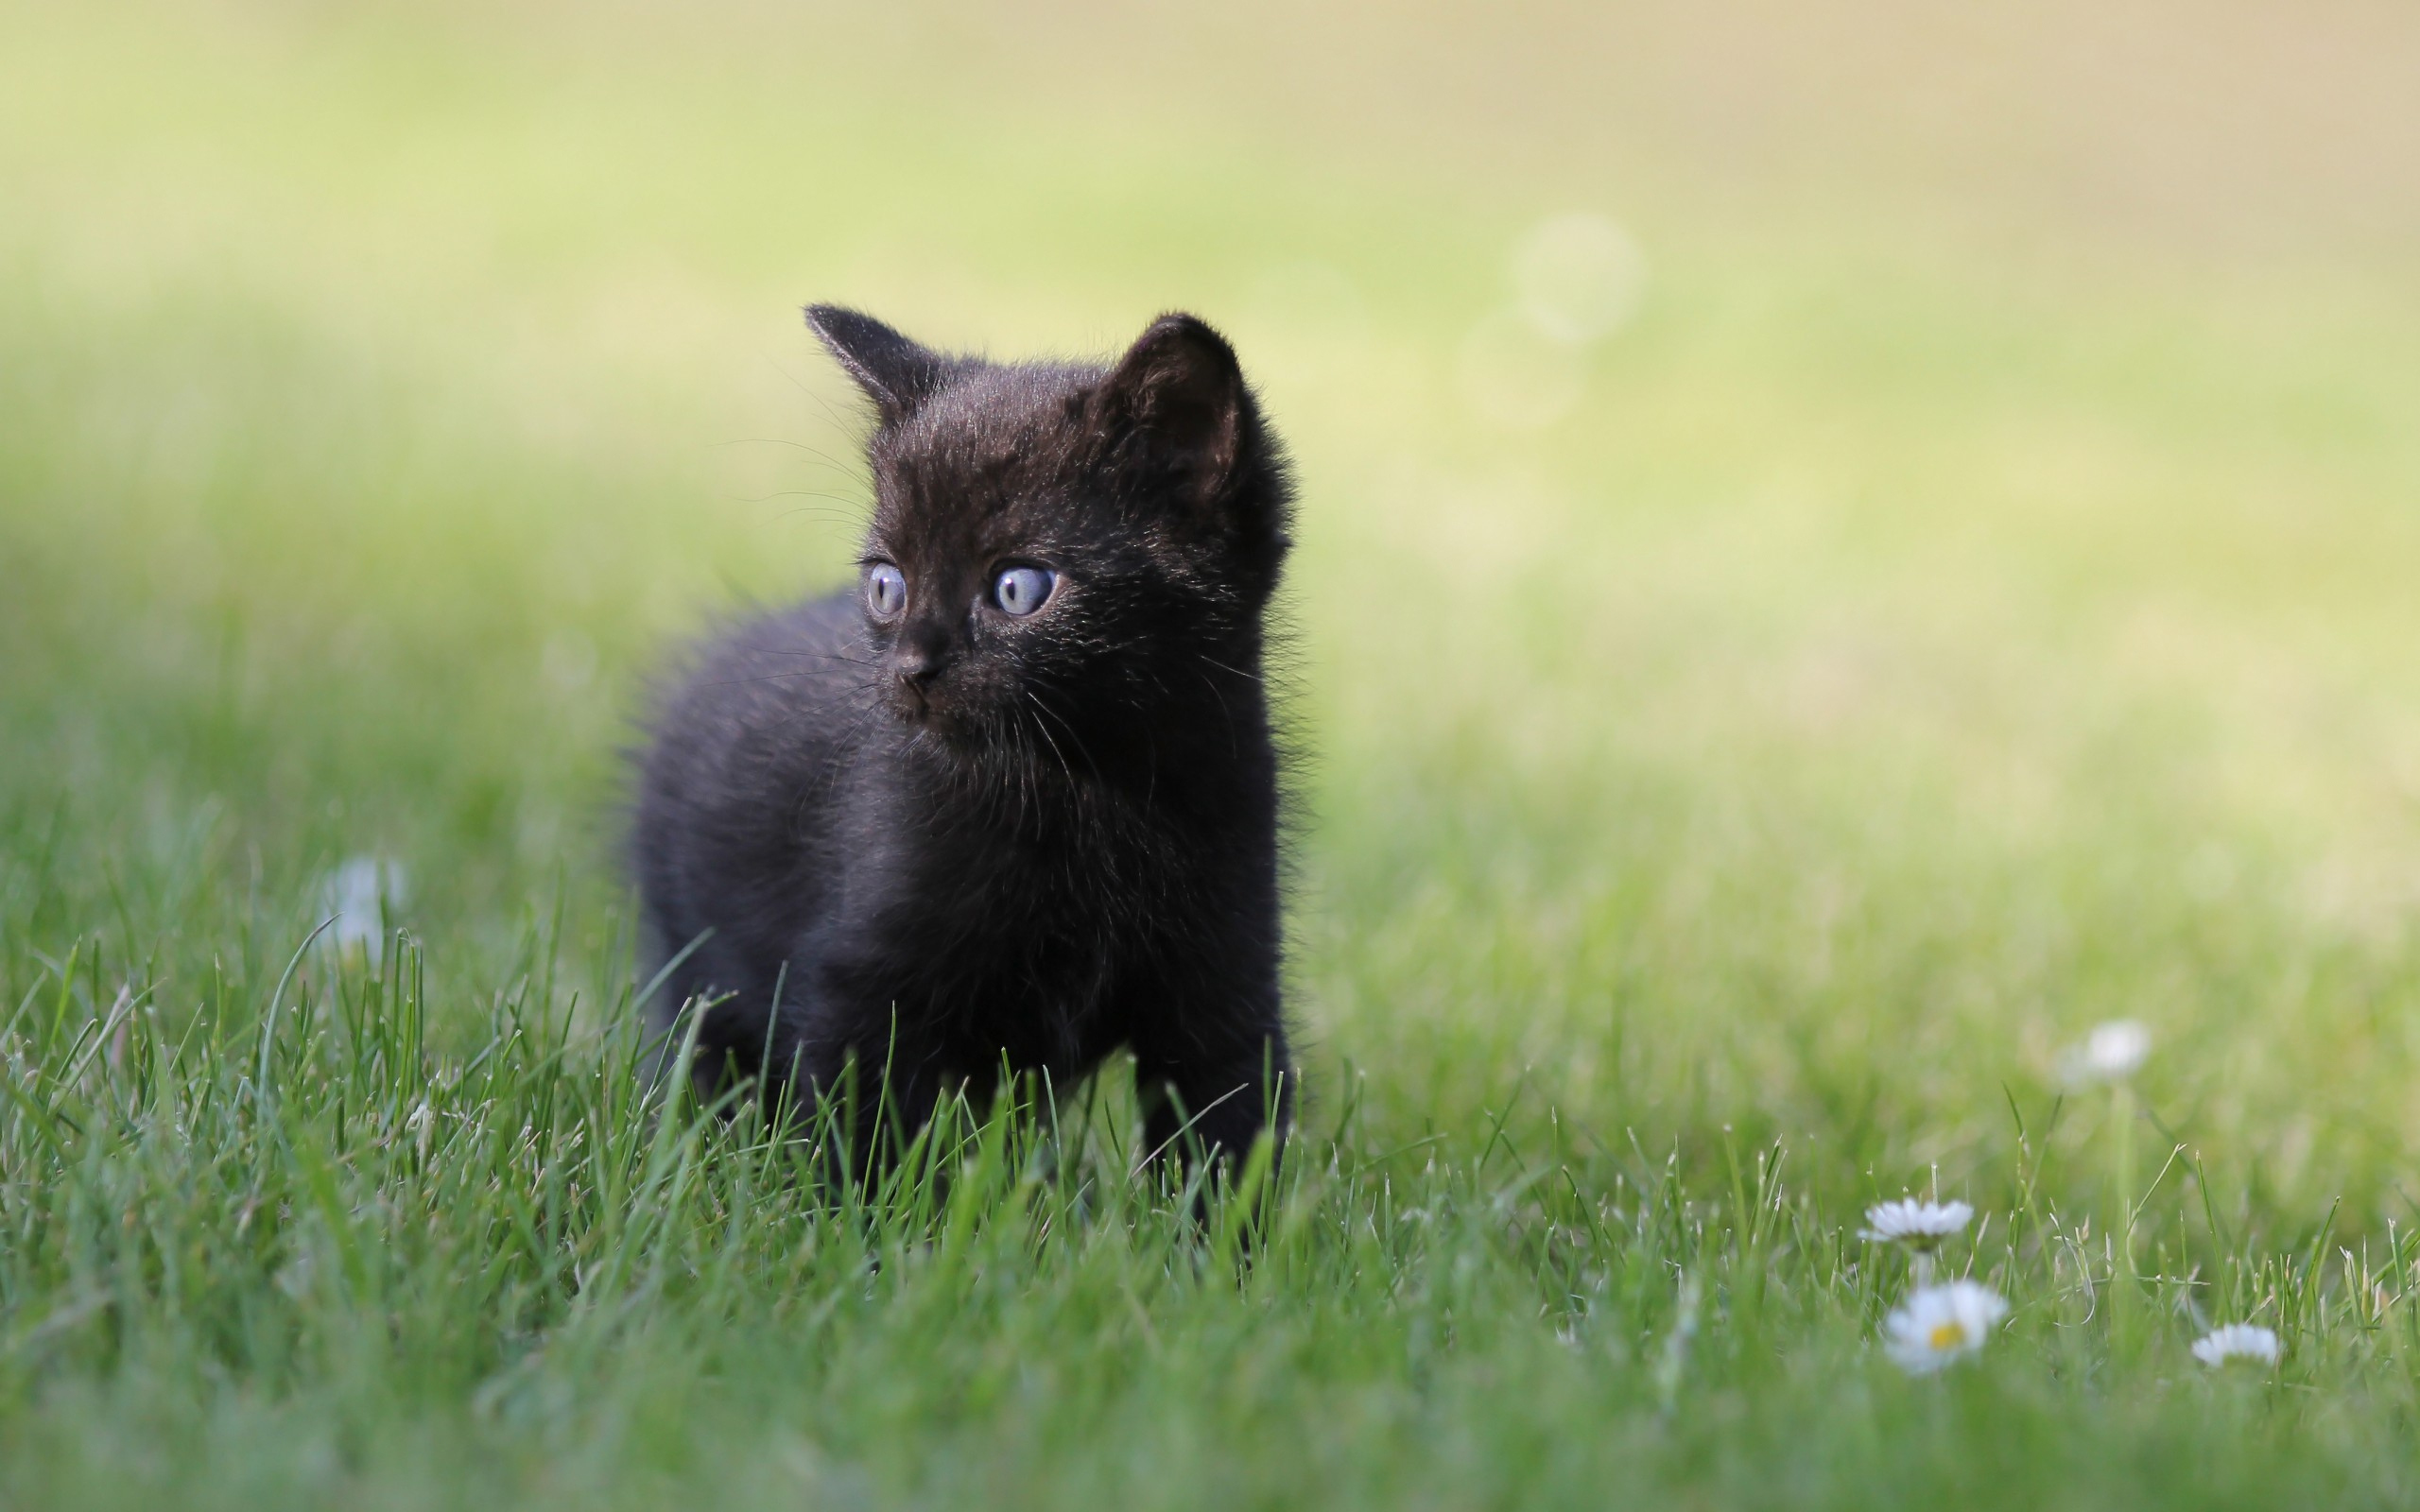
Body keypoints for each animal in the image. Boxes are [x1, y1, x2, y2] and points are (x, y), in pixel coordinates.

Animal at [633, 303, 1297, 1165]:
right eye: (888, 584)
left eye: (1018, 588)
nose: (912, 667)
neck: (1082, 788)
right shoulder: (865, 981)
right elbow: (861, 1133)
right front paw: (858, 1204)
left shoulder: (1226, 980)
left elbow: (1225, 1137)